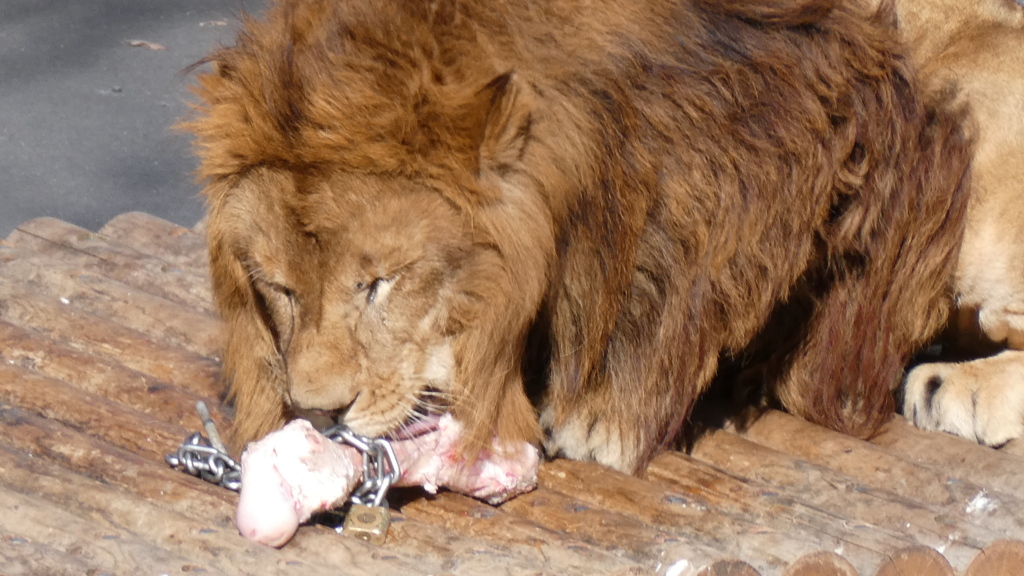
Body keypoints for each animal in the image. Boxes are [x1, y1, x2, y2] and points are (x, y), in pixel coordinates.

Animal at [188, 0, 970, 473]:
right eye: (280, 289)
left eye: (379, 283)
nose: (319, 411)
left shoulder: (727, 160)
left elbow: (655, 297)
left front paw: (601, 423)